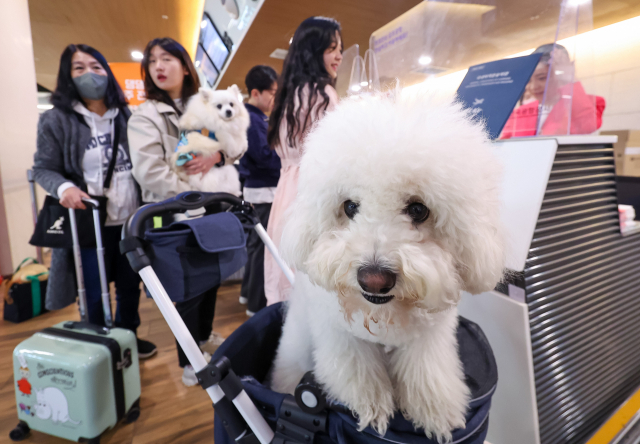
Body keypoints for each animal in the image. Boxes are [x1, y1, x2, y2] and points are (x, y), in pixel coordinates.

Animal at [270, 91, 504, 444]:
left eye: (418, 210)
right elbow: (357, 372)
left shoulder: (430, 335)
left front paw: (436, 412)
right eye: (349, 207)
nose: (374, 279)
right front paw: (372, 406)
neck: (383, 313)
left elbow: (427, 373)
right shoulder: (340, 334)